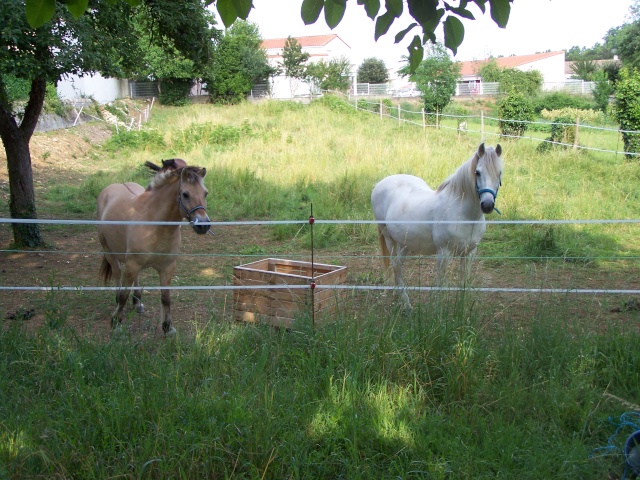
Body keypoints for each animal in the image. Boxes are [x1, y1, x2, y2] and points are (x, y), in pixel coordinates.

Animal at [96, 160, 210, 334]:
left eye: (205, 193)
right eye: (185, 194)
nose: (203, 226)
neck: (154, 224)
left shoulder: (167, 267)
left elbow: (166, 297)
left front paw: (167, 327)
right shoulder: (132, 263)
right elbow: (123, 295)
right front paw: (116, 322)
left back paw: (137, 303)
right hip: (110, 252)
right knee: (117, 275)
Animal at [372, 142, 502, 310]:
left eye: (499, 173)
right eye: (477, 172)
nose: (487, 205)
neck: (464, 216)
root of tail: (379, 184)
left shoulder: (469, 252)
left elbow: (464, 282)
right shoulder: (444, 253)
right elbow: (442, 284)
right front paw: (440, 311)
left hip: (405, 242)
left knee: (398, 265)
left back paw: (398, 295)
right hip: (389, 238)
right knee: (395, 265)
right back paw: (406, 303)